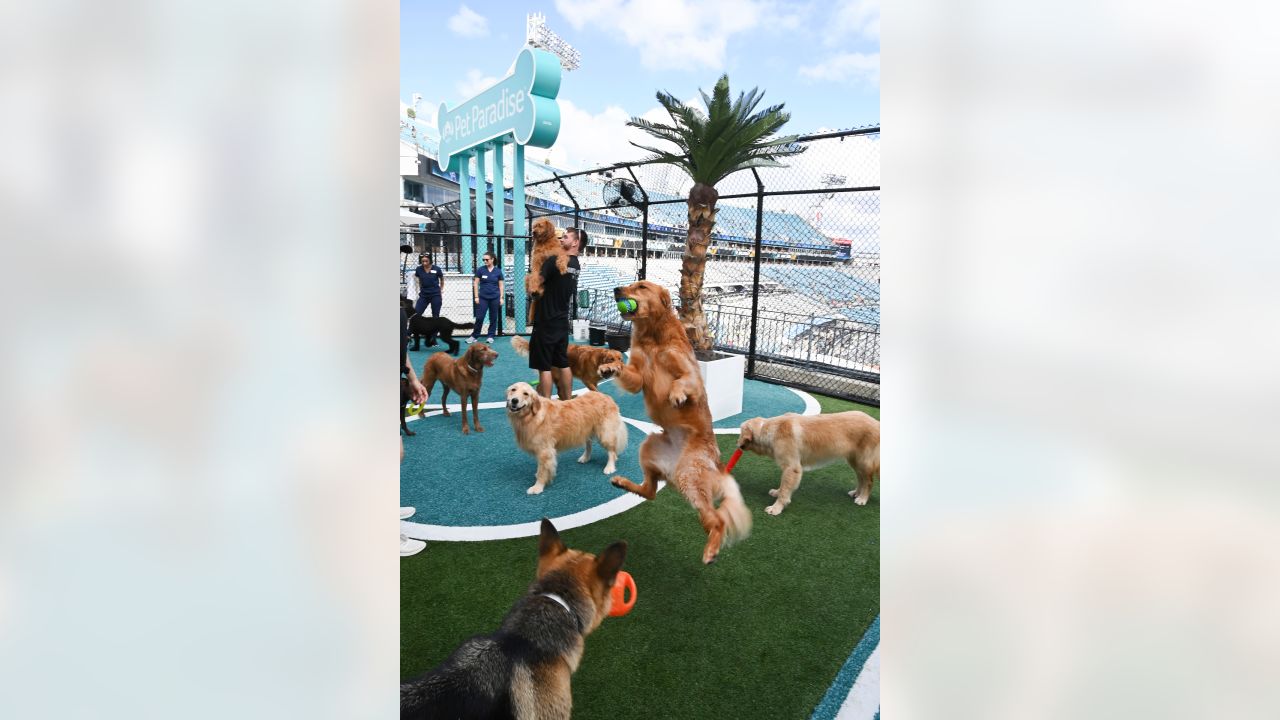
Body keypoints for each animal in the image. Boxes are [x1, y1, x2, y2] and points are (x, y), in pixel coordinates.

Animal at [609, 279, 747, 561]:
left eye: (641, 286)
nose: (617, 290)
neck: (652, 338)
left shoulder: (691, 373)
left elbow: (681, 382)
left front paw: (675, 396)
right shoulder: (637, 375)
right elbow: (628, 373)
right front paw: (611, 365)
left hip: (689, 476)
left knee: (717, 520)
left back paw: (711, 549)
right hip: (649, 446)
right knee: (650, 492)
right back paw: (622, 482)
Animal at [742, 409, 880, 509]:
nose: (739, 446)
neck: (773, 430)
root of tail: (877, 423)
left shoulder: (792, 468)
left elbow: (785, 489)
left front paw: (776, 508)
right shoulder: (789, 469)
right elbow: (784, 486)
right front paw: (777, 492)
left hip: (864, 462)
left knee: (868, 481)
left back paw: (862, 499)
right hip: (855, 461)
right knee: (861, 479)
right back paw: (856, 493)